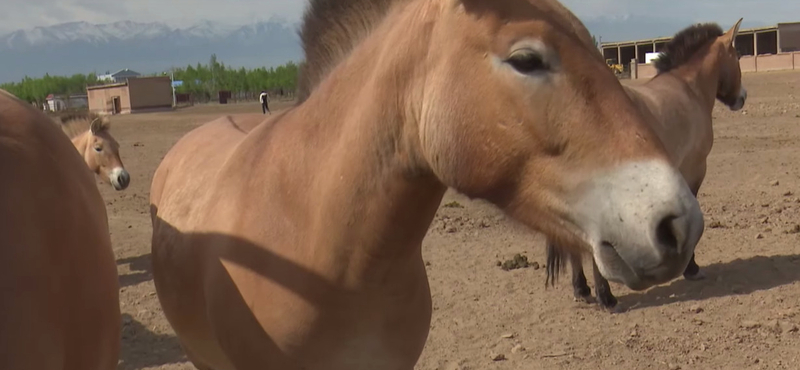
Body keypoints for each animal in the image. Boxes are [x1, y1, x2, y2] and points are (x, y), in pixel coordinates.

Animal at [548, 18, 748, 310]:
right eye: (738, 57)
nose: (742, 97)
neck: (688, 89)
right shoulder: (694, 170)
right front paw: (692, 268)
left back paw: (582, 289)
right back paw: (606, 297)